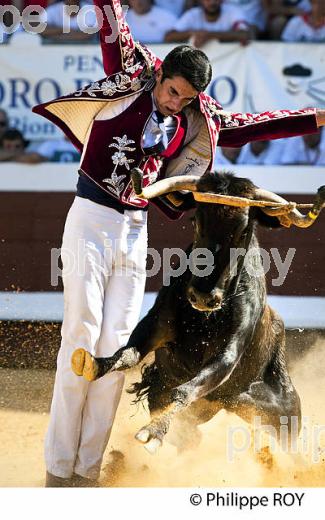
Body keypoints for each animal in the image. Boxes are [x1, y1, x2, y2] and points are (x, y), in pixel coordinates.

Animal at [71, 173, 324, 452]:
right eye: (196, 221)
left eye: (243, 230)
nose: (203, 296)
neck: (205, 317)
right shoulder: (156, 326)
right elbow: (128, 354)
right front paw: (94, 364)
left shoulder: (228, 352)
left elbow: (186, 390)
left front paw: (152, 432)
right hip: (176, 400)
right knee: (190, 436)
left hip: (284, 418)